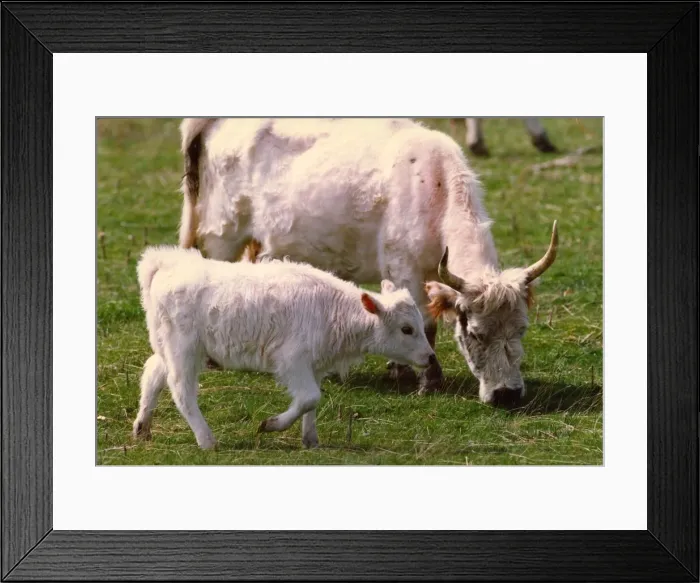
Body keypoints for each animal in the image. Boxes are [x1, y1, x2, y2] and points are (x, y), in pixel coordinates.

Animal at [132, 245, 436, 449]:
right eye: (407, 329)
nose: (431, 357)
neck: (332, 309)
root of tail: (166, 263)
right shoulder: (291, 361)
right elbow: (310, 397)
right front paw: (271, 425)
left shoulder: (314, 366)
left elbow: (312, 402)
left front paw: (311, 440)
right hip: (184, 348)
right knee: (181, 388)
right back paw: (207, 440)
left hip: (166, 346)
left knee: (153, 374)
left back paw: (142, 427)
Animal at [176, 118, 559, 407]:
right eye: (476, 334)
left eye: (521, 329)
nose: (507, 395)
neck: (433, 186)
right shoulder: (404, 270)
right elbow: (424, 324)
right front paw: (429, 381)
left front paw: (400, 368)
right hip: (223, 232)